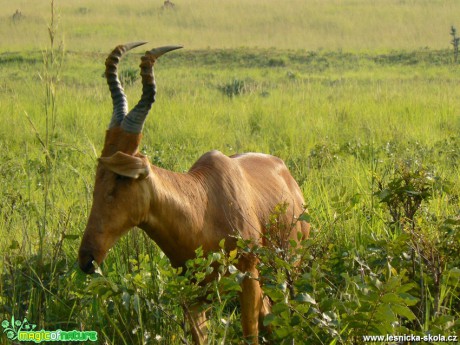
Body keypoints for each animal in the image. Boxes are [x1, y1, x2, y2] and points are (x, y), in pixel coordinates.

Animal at [78, 41, 310, 342]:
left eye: (121, 176)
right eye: (98, 175)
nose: (87, 259)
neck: (203, 205)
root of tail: (288, 176)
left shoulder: (248, 279)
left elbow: (250, 334)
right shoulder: (192, 295)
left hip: (288, 269)